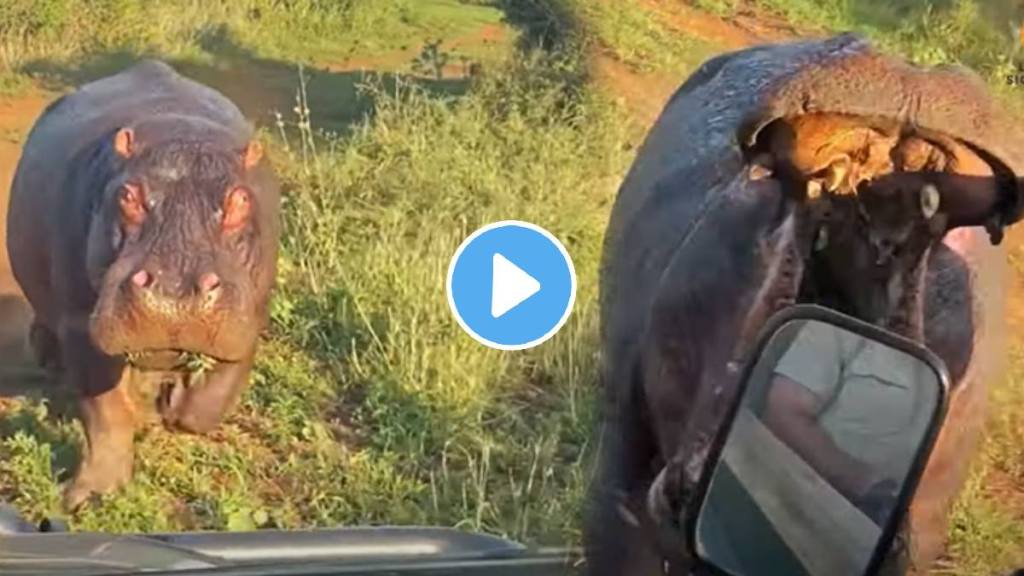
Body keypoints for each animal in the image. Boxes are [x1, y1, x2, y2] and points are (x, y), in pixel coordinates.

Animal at [8, 58, 282, 506]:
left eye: (241, 199)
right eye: (128, 195)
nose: (175, 293)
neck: (182, 136)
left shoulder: (249, 318)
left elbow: (215, 396)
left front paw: (171, 410)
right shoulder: (79, 322)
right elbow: (106, 413)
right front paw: (87, 497)